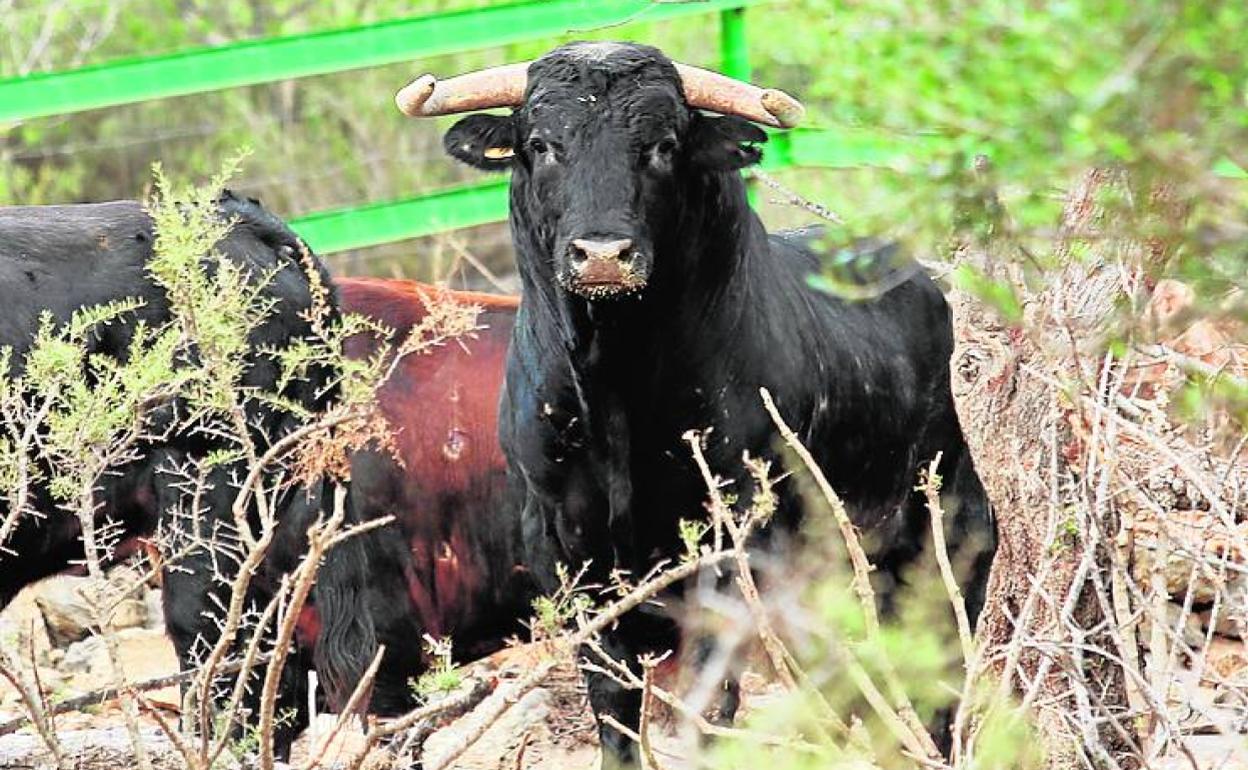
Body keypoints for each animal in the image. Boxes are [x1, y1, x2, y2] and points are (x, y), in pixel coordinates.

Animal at [434, 42, 998, 768]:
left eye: (664, 145)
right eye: (542, 143)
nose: (603, 256)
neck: (615, 392)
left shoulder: (731, 545)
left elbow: (708, 705)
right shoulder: (566, 551)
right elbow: (613, 705)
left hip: (944, 547)